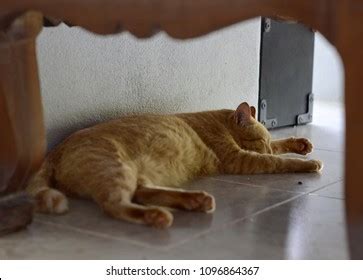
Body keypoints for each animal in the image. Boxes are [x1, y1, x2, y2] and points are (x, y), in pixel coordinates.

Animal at [27, 103, 322, 228]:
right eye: (259, 141)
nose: (265, 145)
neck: (218, 121)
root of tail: (54, 150)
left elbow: (282, 146)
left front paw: (301, 144)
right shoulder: (240, 160)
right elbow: (278, 160)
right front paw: (310, 163)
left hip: (135, 173)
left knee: (142, 192)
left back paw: (195, 201)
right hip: (115, 167)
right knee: (116, 204)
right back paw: (157, 216)